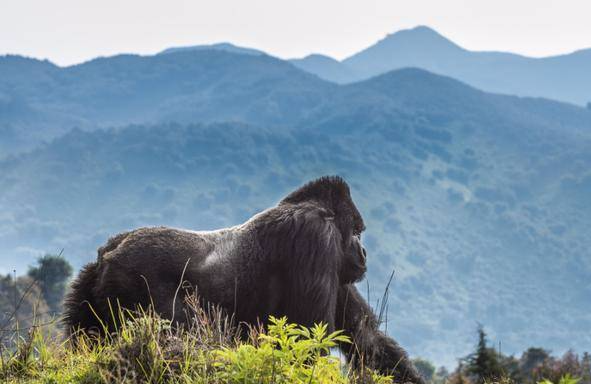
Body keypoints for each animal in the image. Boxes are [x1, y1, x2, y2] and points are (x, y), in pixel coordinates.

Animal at [63, 177, 426, 384]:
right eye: (357, 233)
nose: (363, 252)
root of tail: (108, 252)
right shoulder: (316, 239)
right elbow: (308, 337)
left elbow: (366, 339)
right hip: (131, 278)